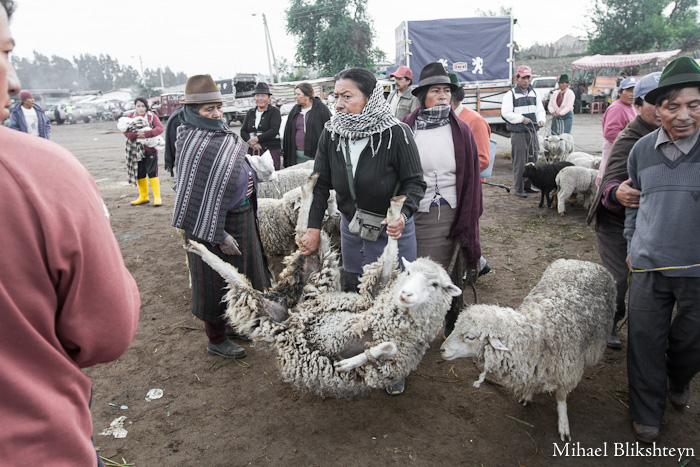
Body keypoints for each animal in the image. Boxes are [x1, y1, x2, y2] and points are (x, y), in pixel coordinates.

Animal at [440, 260, 616, 442]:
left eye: (470, 337)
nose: (442, 349)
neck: (536, 336)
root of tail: (584, 262)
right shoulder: (532, 366)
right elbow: (532, 382)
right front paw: (528, 396)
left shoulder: (566, 372)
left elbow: (561, 398)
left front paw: (563, 425)